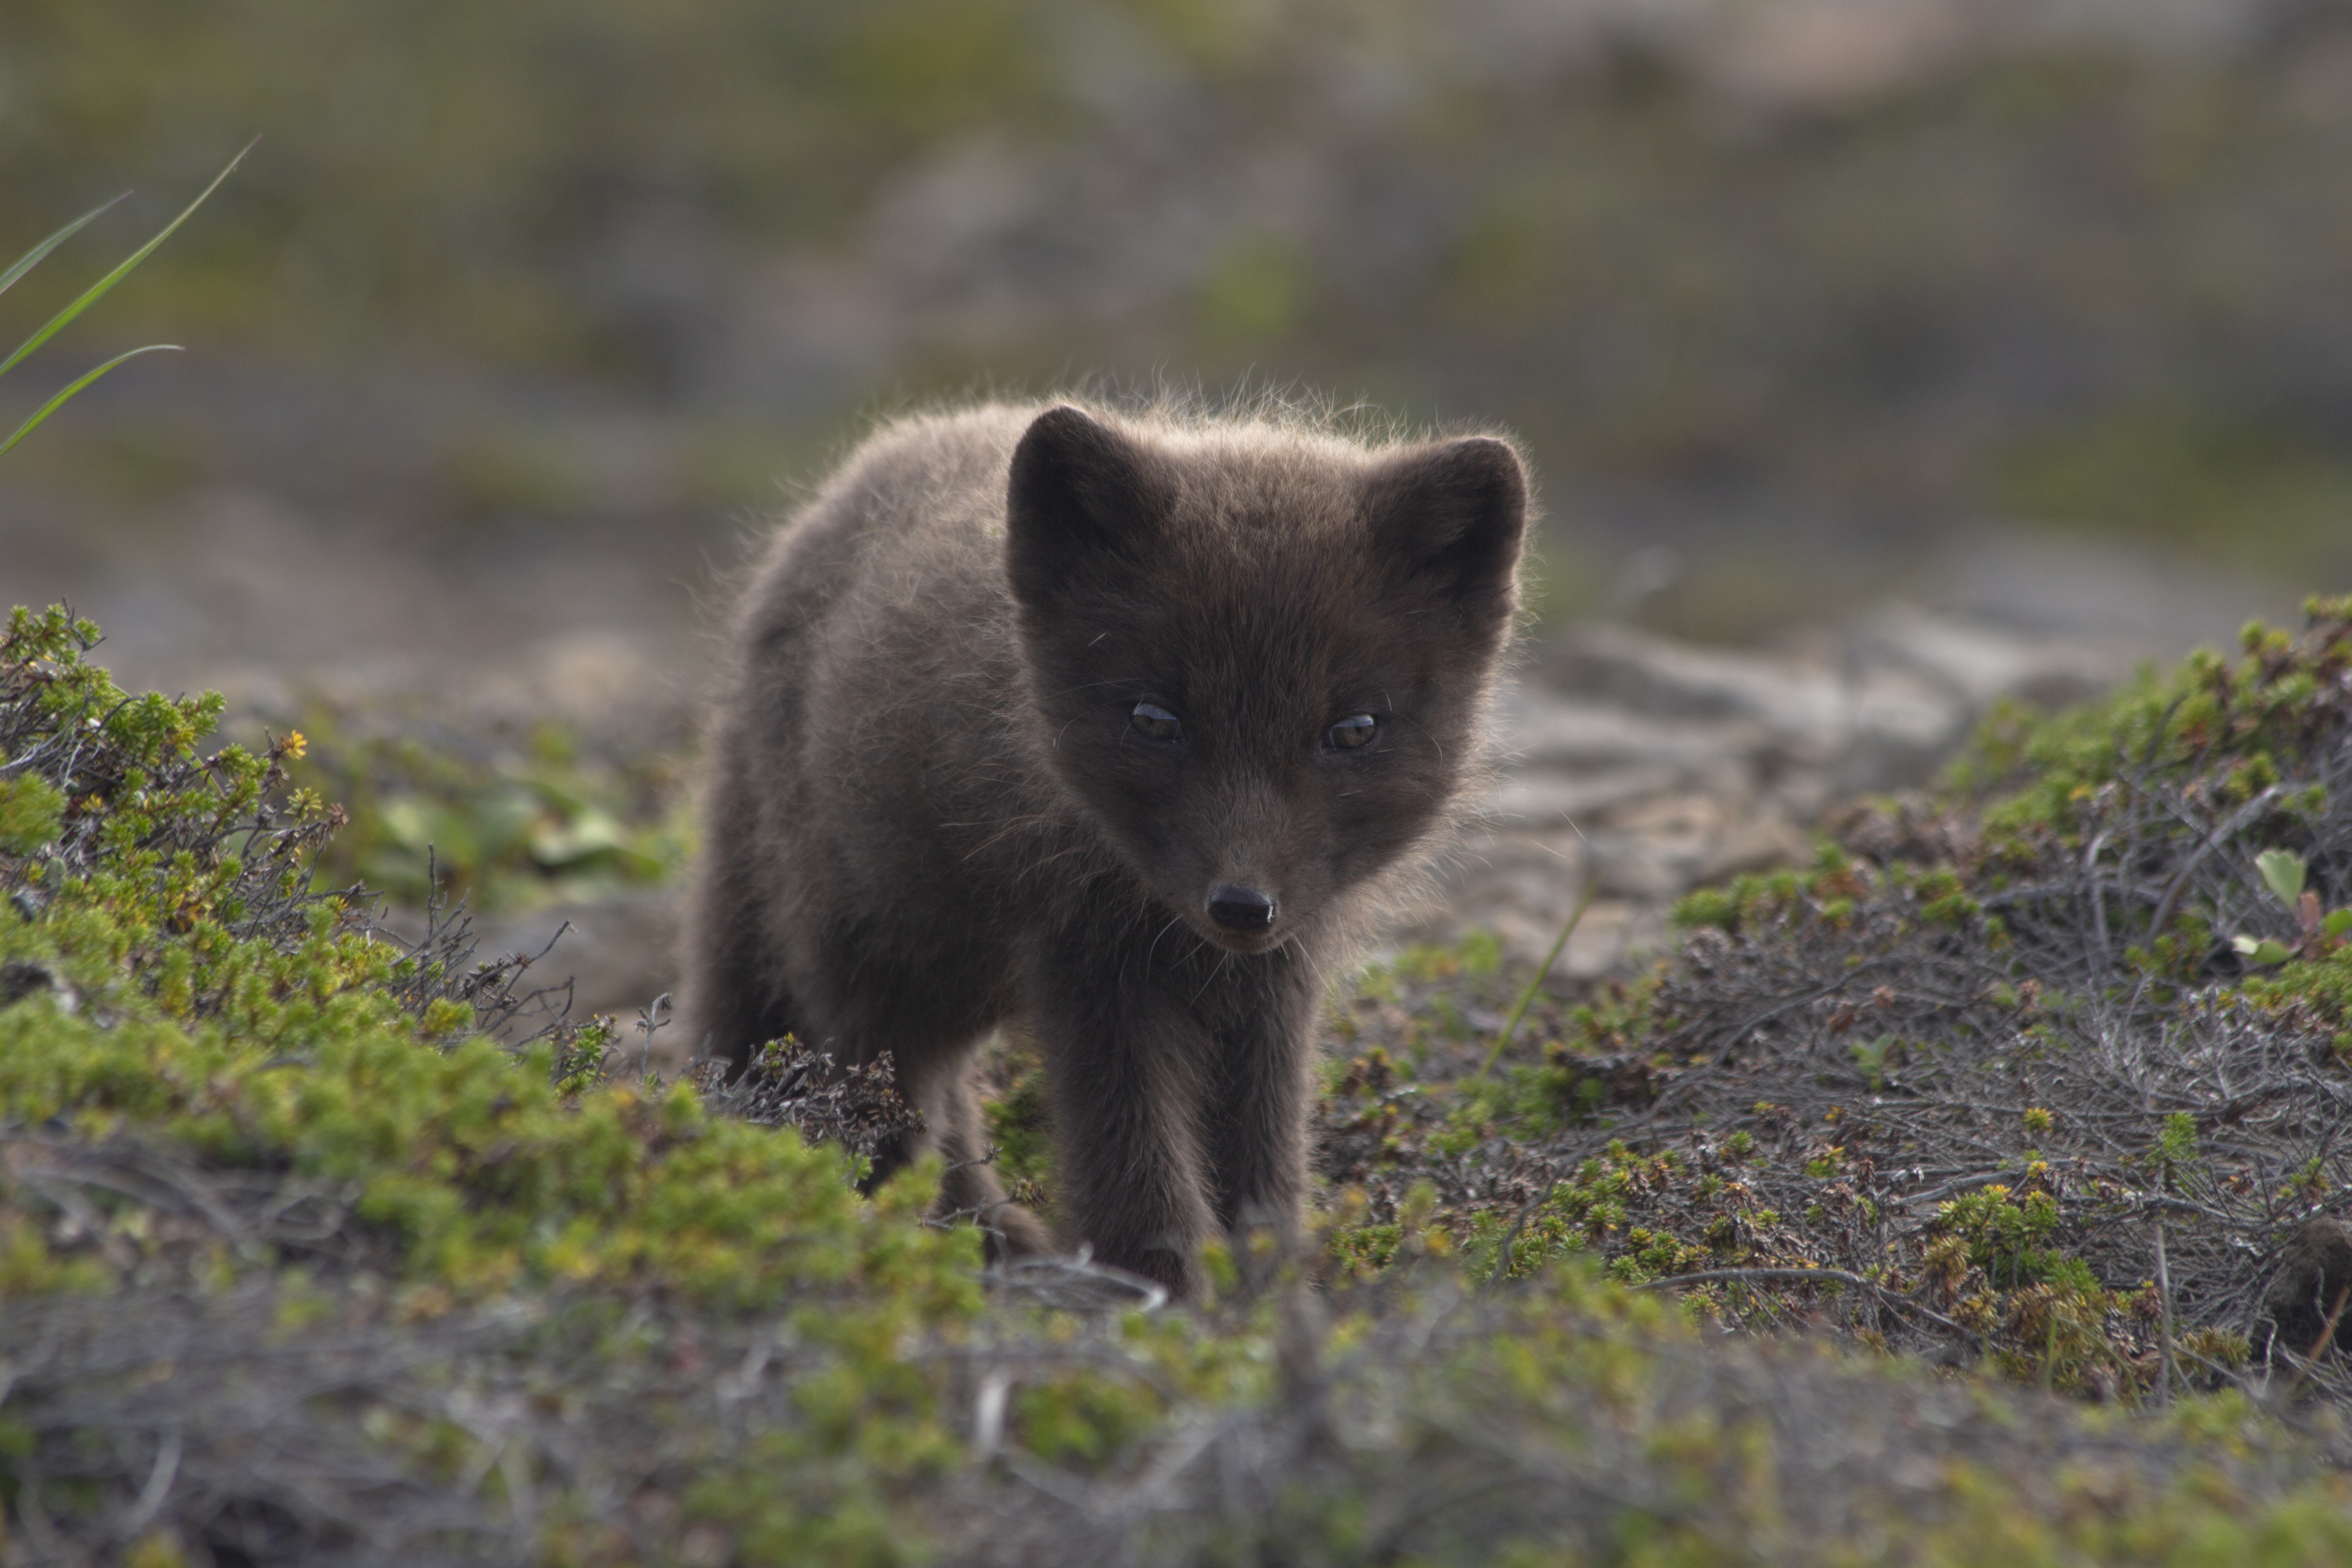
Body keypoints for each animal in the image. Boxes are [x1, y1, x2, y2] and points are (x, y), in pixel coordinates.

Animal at [686, 399, 1524, 1298]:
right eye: (1155, 719)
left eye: (1354, 729)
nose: (1241, 905)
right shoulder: (1086, 963)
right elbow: (1132, 1154)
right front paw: (1162, 1292)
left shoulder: (1270, 982)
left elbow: (1259, 1156)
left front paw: (1264, 1293)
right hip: (845, 940)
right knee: (855, 1093)